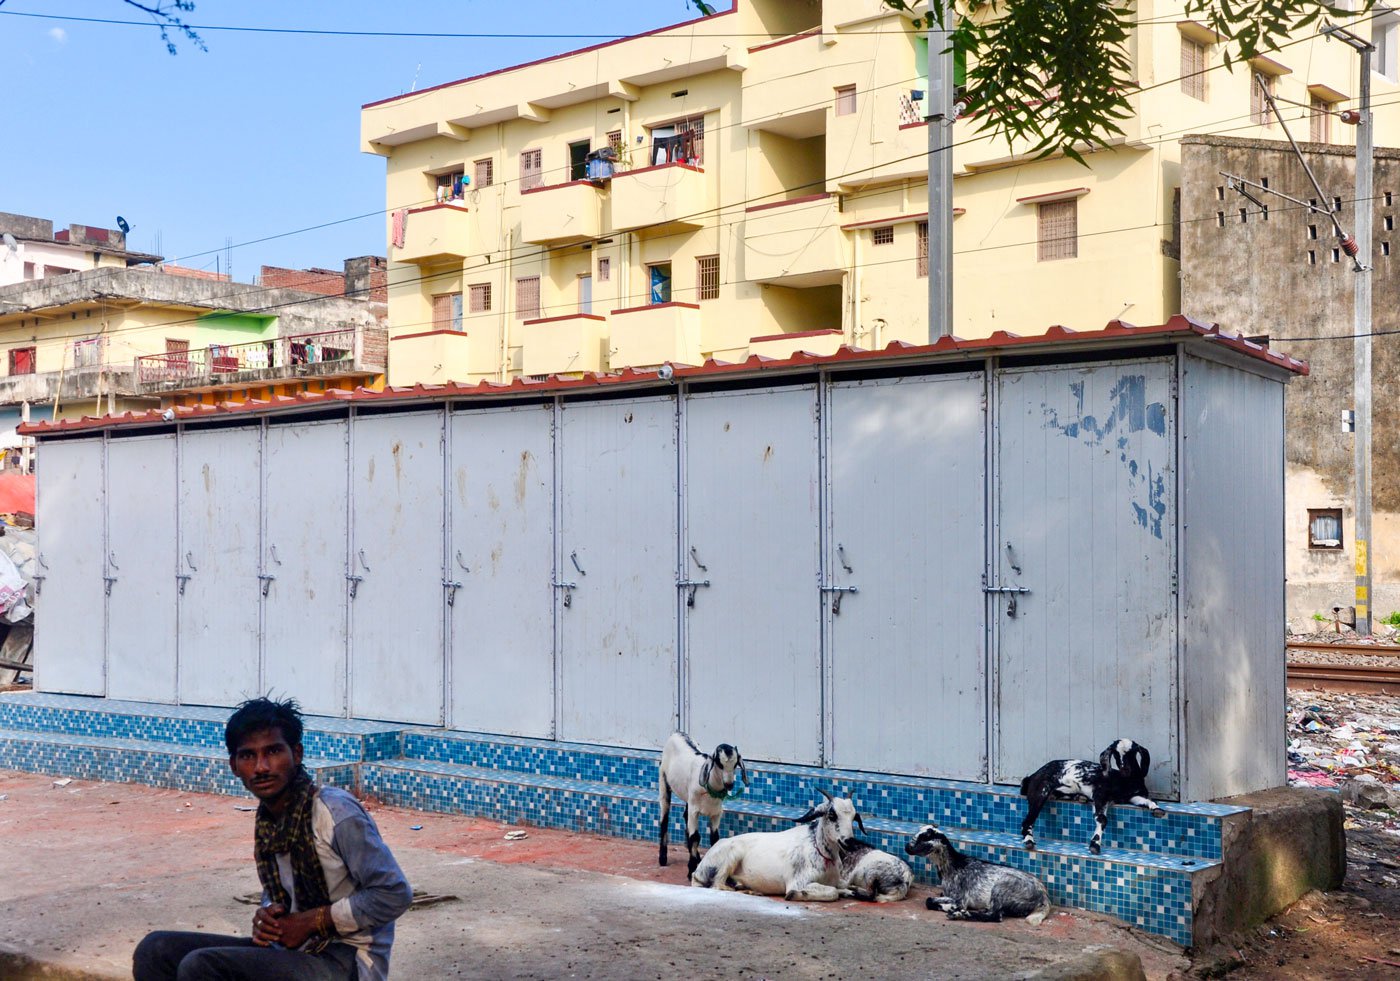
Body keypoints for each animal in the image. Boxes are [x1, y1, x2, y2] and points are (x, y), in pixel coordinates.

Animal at [660, 733, 750, 878]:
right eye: (719, 763)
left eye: (735, 764)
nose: (729, 784)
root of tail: (677, 733)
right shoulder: (694, 812)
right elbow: (695, 837)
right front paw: (691, 869)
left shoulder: (716, 813)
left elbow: (715, 839)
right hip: (663, 780)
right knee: (664, 818)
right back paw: (663, 858)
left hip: (689, 799)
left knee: (684, 816)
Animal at [691, 789, 862, 901]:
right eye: (832, 815)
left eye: (853, 817)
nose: (849, 842)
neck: (820, 850)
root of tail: (698, 871)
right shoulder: (798, 882)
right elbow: (833, 892)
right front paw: (797, 895)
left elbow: (847, 886)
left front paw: (851, 891)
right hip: (732, 856)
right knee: (718, 885)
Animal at [907, 822, 1052, 923]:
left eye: (925, 837)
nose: (907, 847)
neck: (954, 864)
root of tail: (1044, 896)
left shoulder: (960, 898)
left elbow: (929, 900)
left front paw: (952, 908)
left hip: (1002, 887)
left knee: (995, 916)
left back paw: (960, 914)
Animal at [1024, 733, 1164, 850]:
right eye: (1115, 754)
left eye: (1132, 753)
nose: (1125, 769)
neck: (1125, 781)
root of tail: (1032, 776)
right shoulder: (1100, 794)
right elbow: (1102, 819)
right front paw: (1095, 844)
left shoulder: (1134, 796)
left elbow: (1148, 800)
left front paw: (1157, 809)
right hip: (1041, 790)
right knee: (1028, 820)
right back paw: (1029, 841)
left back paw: (1080, 797)